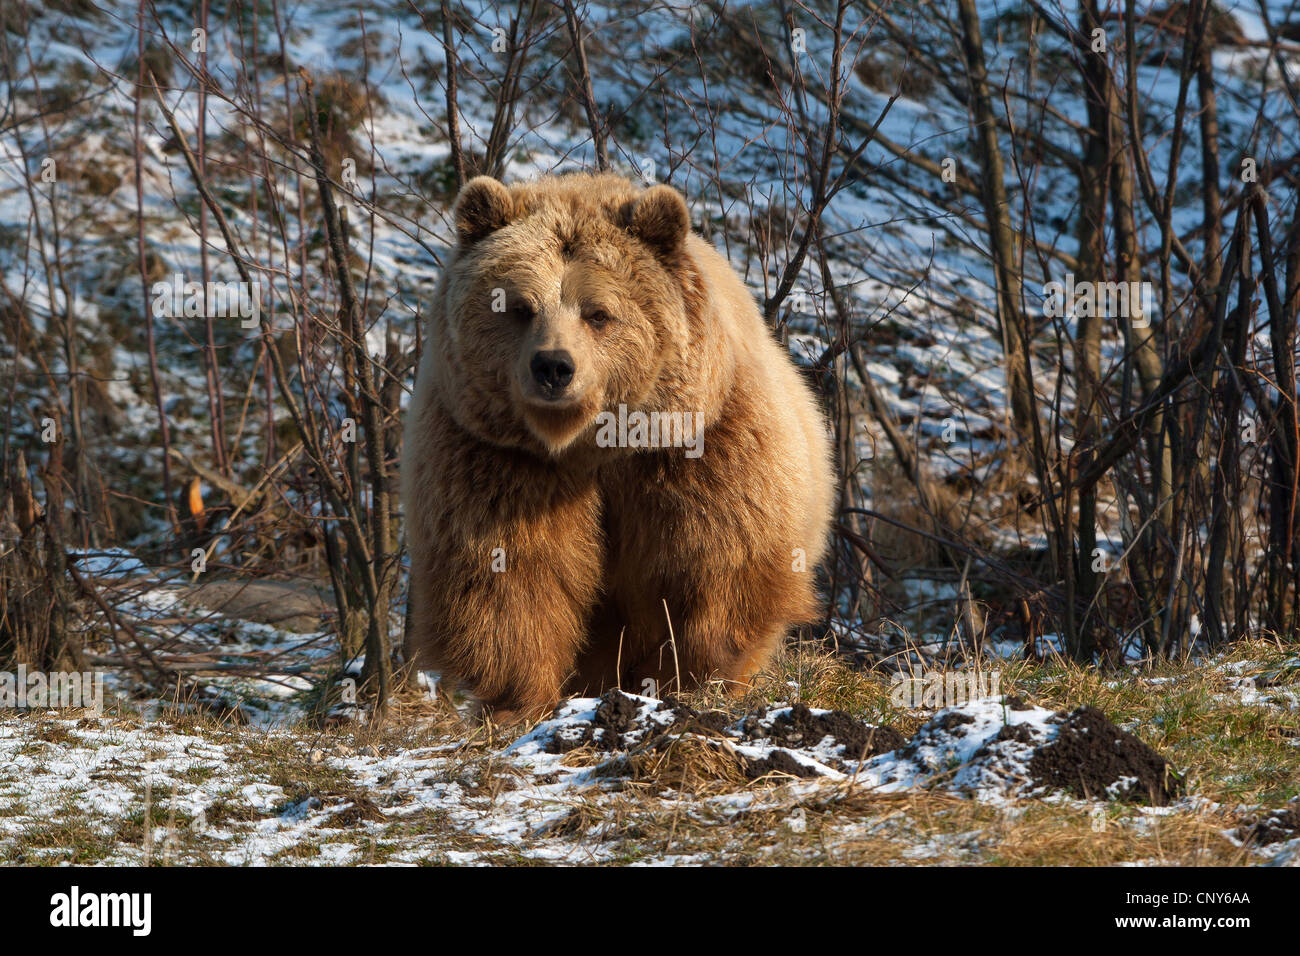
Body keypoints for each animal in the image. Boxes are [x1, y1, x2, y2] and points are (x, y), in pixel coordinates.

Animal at [401, 172, 834, 724]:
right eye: (518, 307)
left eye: (598, 313)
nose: (553, 366)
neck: (591, 444)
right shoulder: (500, 460)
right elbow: (510, 578)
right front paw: (518, 703)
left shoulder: (695, 451)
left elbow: (716, 567)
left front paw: (689, 678)